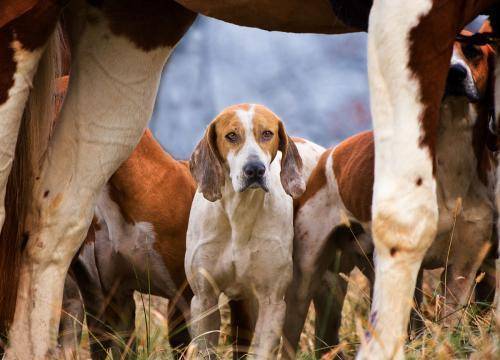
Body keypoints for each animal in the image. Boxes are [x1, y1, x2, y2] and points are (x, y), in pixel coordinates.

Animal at [186, 103, 306, 358]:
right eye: (232, 136)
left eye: (267, 134)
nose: (255, 170)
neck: (239, 214)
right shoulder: (203, 299)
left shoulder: (272, 302)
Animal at [284, 28, 498, 358]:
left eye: (473, 52)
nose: (455, 73)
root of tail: (329, 154)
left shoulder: (462, 265)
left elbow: (447, 322)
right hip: (307, 277)